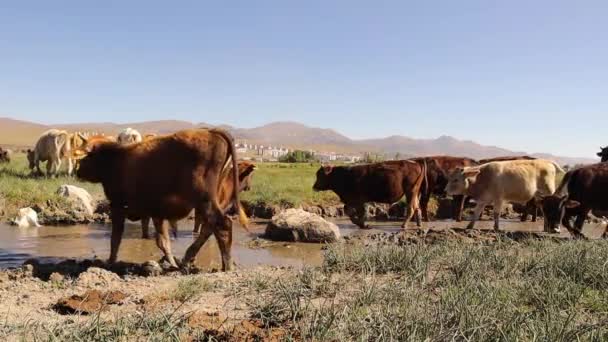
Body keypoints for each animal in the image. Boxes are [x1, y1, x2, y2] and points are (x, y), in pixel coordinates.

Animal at [76, 128, 247, 270]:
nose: (77, 171)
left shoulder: (118, 206)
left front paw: (110, 262)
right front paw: (171, 262)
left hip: (205, 200)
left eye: (87, 156)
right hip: (208, 202)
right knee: (210, 227)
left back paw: (225, 266)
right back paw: (189, 258)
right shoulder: (156, 213)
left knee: (222, 225)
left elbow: (115, 239)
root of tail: (211, 132)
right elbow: (163, 241)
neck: (114, 159)